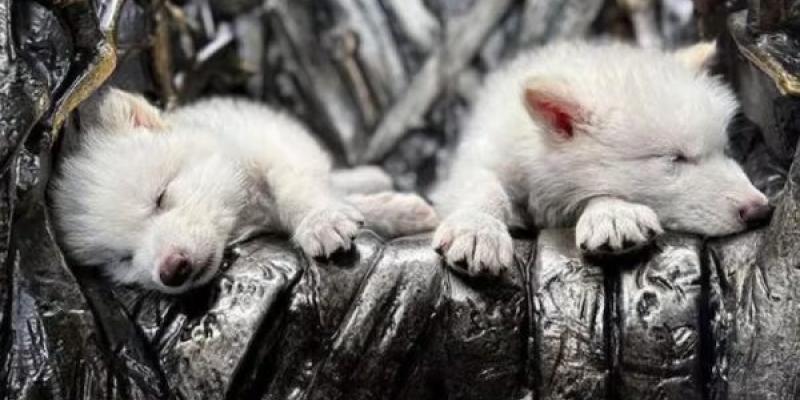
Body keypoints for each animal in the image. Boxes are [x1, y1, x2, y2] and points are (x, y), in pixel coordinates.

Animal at [50, 89, 438, 294]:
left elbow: (297, 188)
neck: (243, 210)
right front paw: (393, 211)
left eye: (160, 197)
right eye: (123, 259)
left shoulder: (275, 147)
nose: (171, 270)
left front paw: (321, 221)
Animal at [432, 41, 771, 275]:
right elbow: (483, 187)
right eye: (675, 158)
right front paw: (477, 229)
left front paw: (613, 214)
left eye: (724, 151)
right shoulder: (483, 155)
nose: (761, 211)